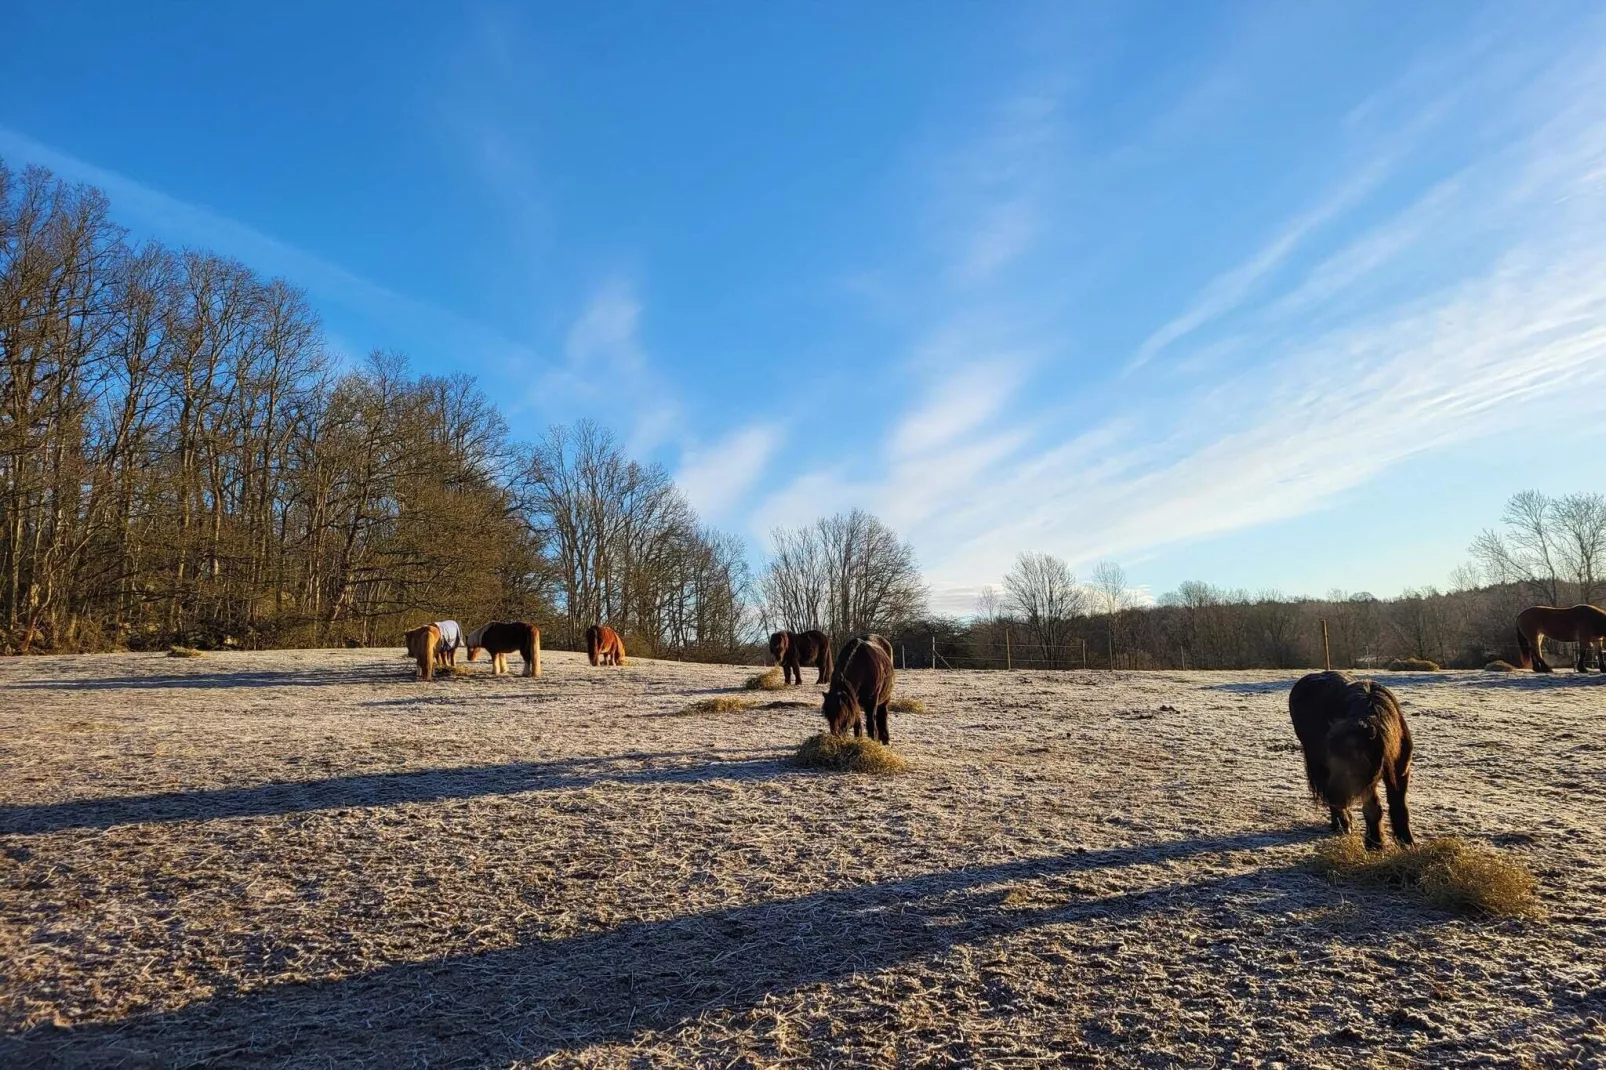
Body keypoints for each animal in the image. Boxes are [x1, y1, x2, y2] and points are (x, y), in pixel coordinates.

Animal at [1284, 668, 1413, 848]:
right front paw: (1375, 844)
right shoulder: (1367, 781)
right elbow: (1373, 809)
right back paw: (1342, 824)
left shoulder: (1401, 771)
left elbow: (1399, 806)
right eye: (1332, 761)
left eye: (1354, 761)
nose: (1334, 796)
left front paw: (1407, 842)